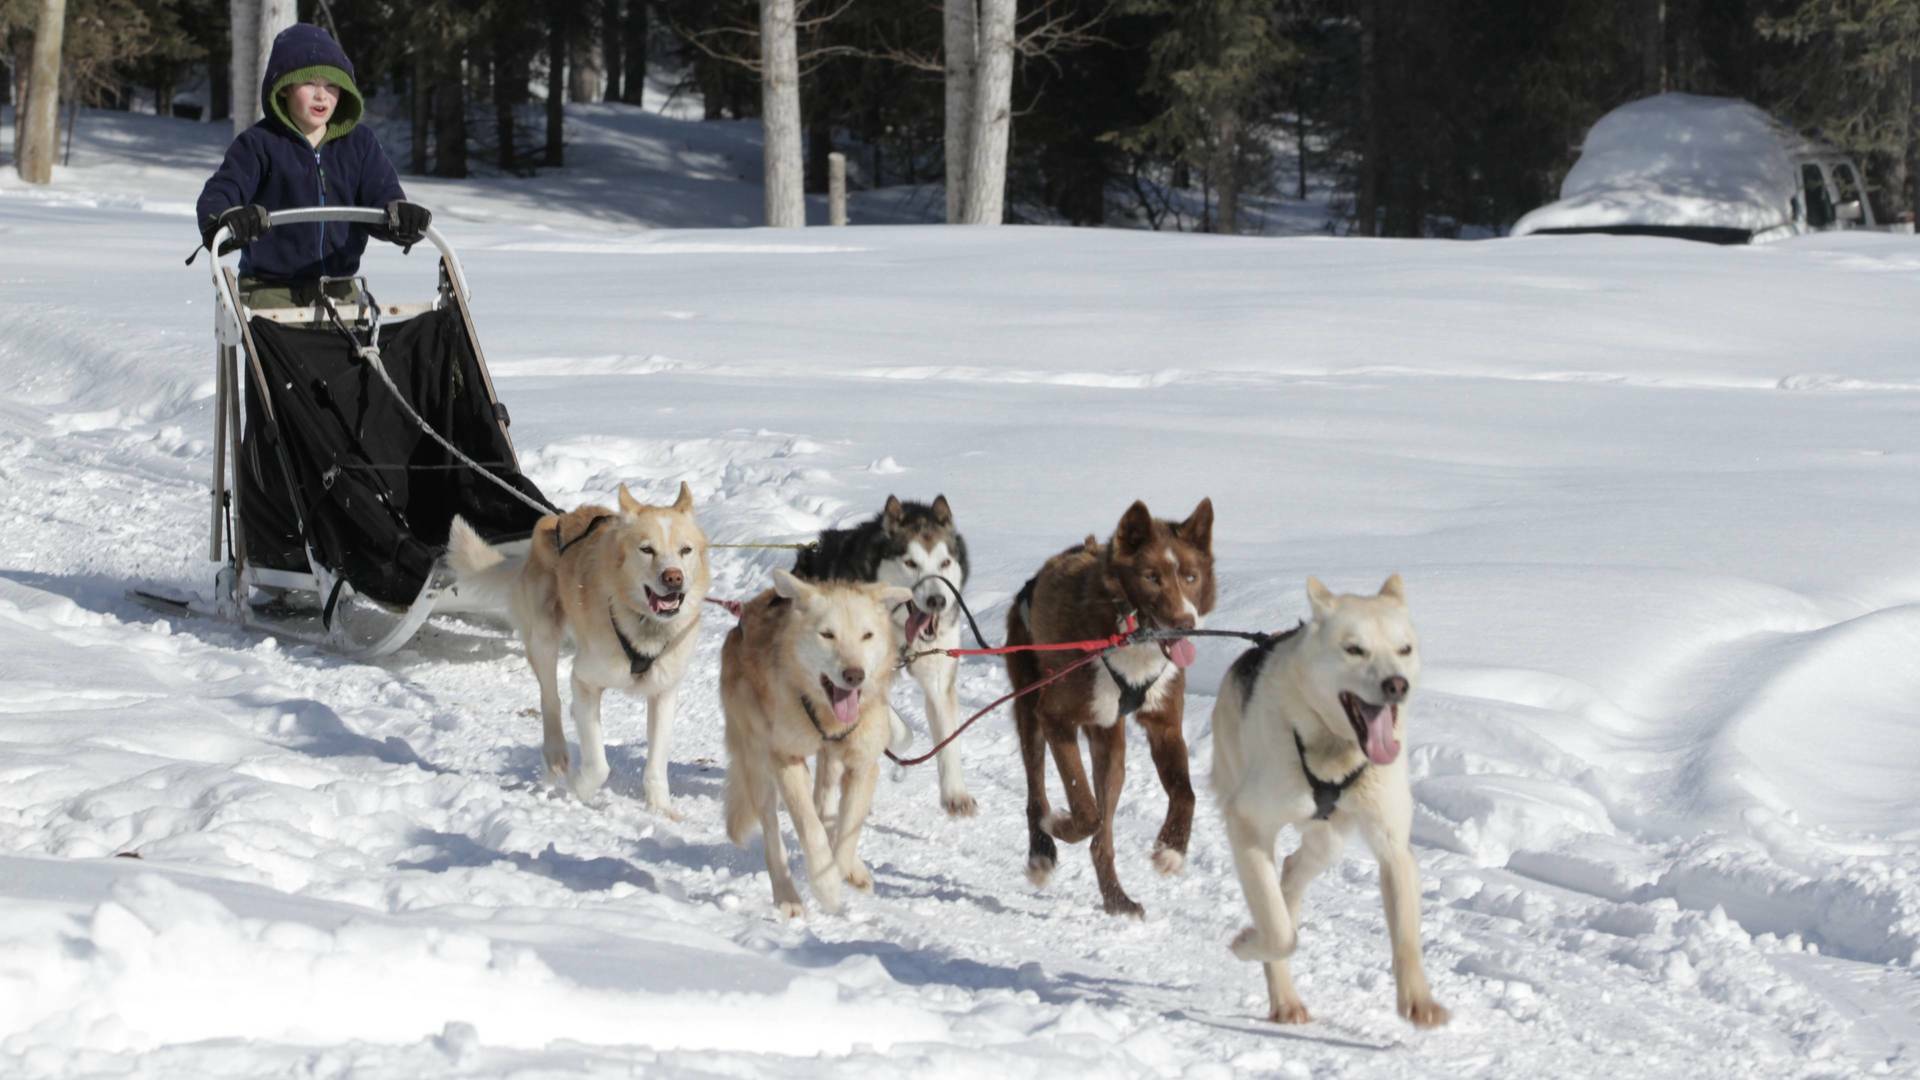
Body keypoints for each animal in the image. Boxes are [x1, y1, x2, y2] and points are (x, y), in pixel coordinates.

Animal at [1006, 495, 1213, 907]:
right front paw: (1060, 823)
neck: (1130, 636)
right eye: (1151, 577)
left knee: (1103, 836)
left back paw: (1117, 899)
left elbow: (1186, 793)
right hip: (1031, 711)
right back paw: (1041, 850)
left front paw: (1172, 850)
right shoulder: (1055, 717)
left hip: (1110, 745)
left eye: (1191, 577)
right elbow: (1085, 810)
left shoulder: (1165, 724)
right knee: (1038, 793)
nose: (1185, 624)